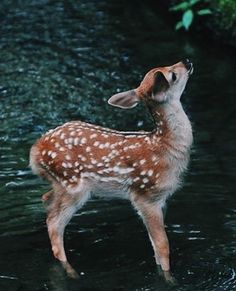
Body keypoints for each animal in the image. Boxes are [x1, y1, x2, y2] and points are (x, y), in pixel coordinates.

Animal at [30, 60, 194, 286]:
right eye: (173, 76)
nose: (186, 62)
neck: (165, 146)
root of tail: (36, 149)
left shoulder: (162, 199)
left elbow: (156, 244)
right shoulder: (146, 195)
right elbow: (162, 245)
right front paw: (170, 280)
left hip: (61, 184)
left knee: (46, 200)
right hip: (73, 185)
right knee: (54, 222)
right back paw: (72, 272)